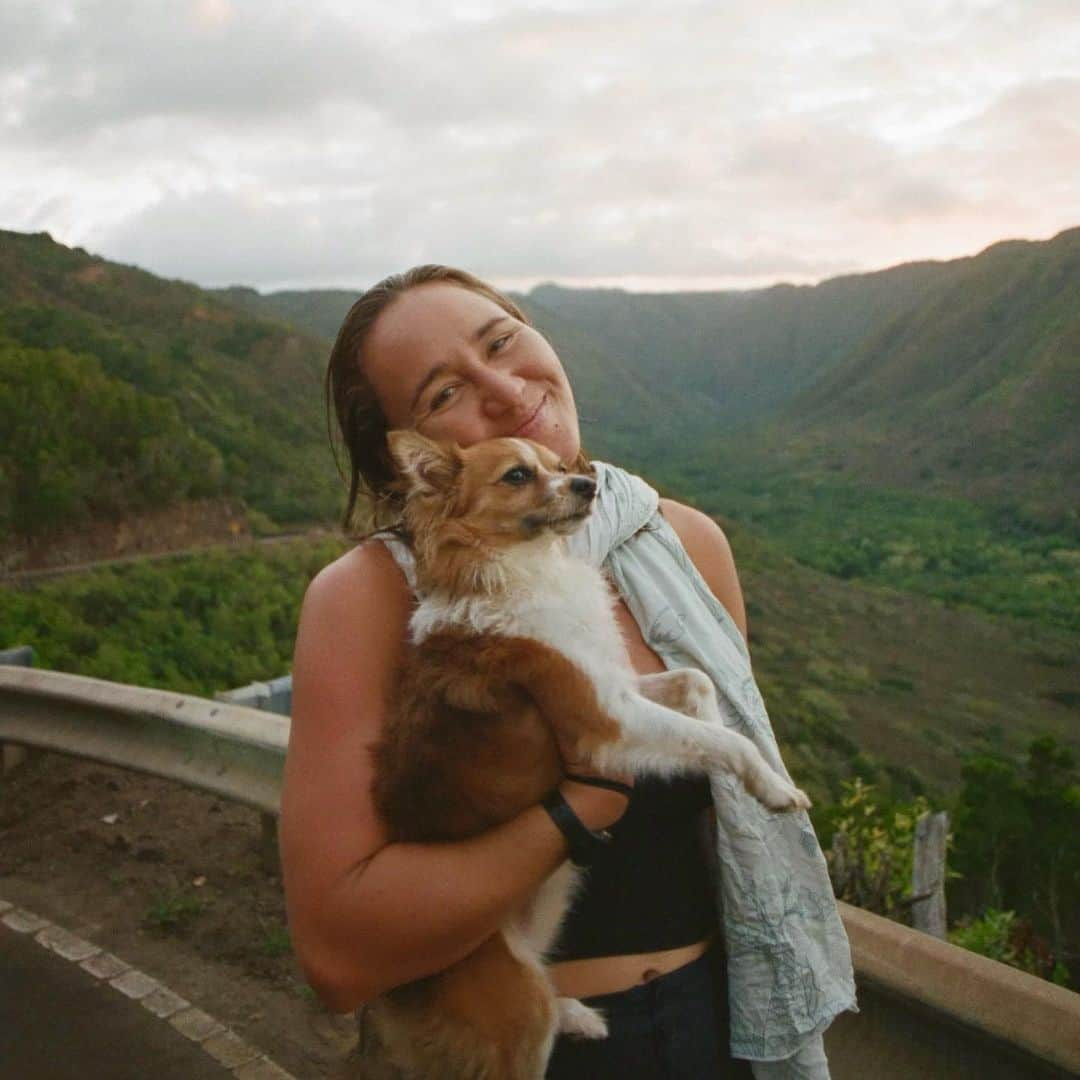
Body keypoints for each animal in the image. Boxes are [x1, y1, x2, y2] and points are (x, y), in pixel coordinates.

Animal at [365, 432, 812, 1080]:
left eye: (557, 465)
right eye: (517, 475)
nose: (586, 485)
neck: (527, 567)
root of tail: (400, 985)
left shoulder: (615, 687)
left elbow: (698, 686)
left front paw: (723, 770)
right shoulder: (606, 721)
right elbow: (727, 739)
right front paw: (769, 787)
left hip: (551, 905)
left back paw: (577, 1015)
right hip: (515, 1006)